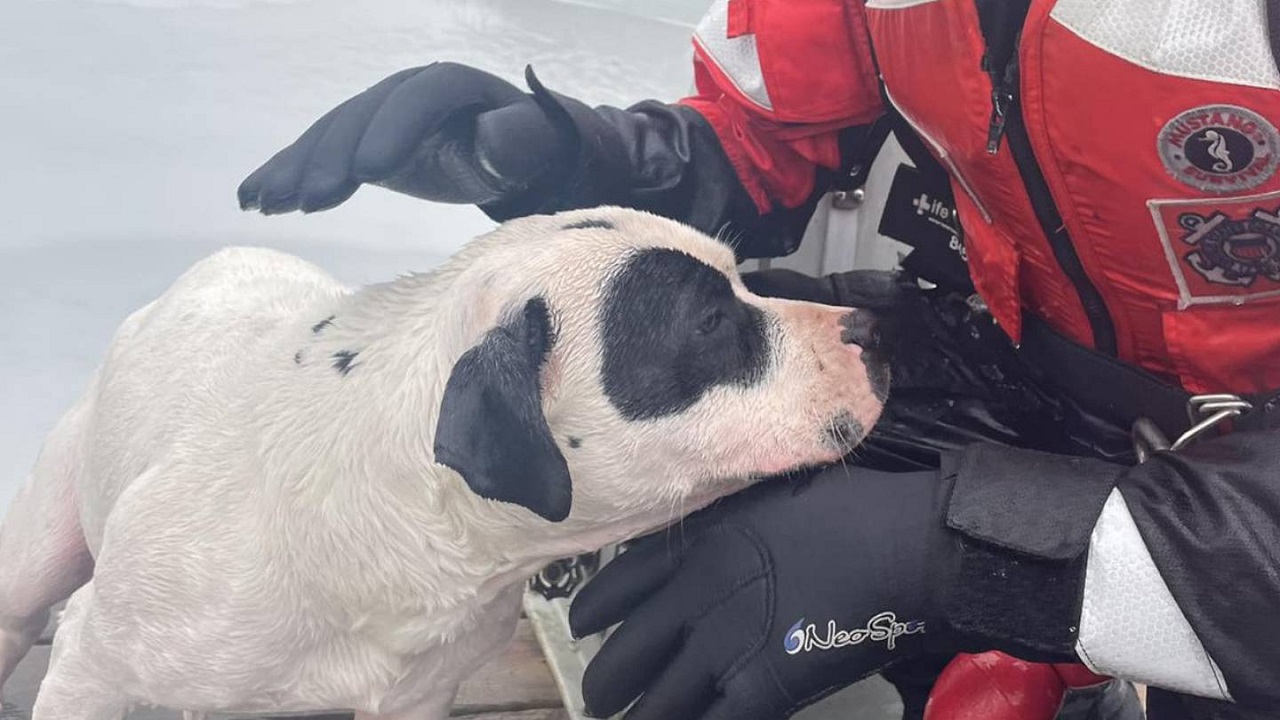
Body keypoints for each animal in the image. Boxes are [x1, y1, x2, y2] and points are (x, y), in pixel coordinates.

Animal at [0, 204, 880, 712]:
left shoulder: (414, 697)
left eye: (745, 283)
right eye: (707, 323)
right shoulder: (91, 665)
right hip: (38, 561)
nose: (872, 326)